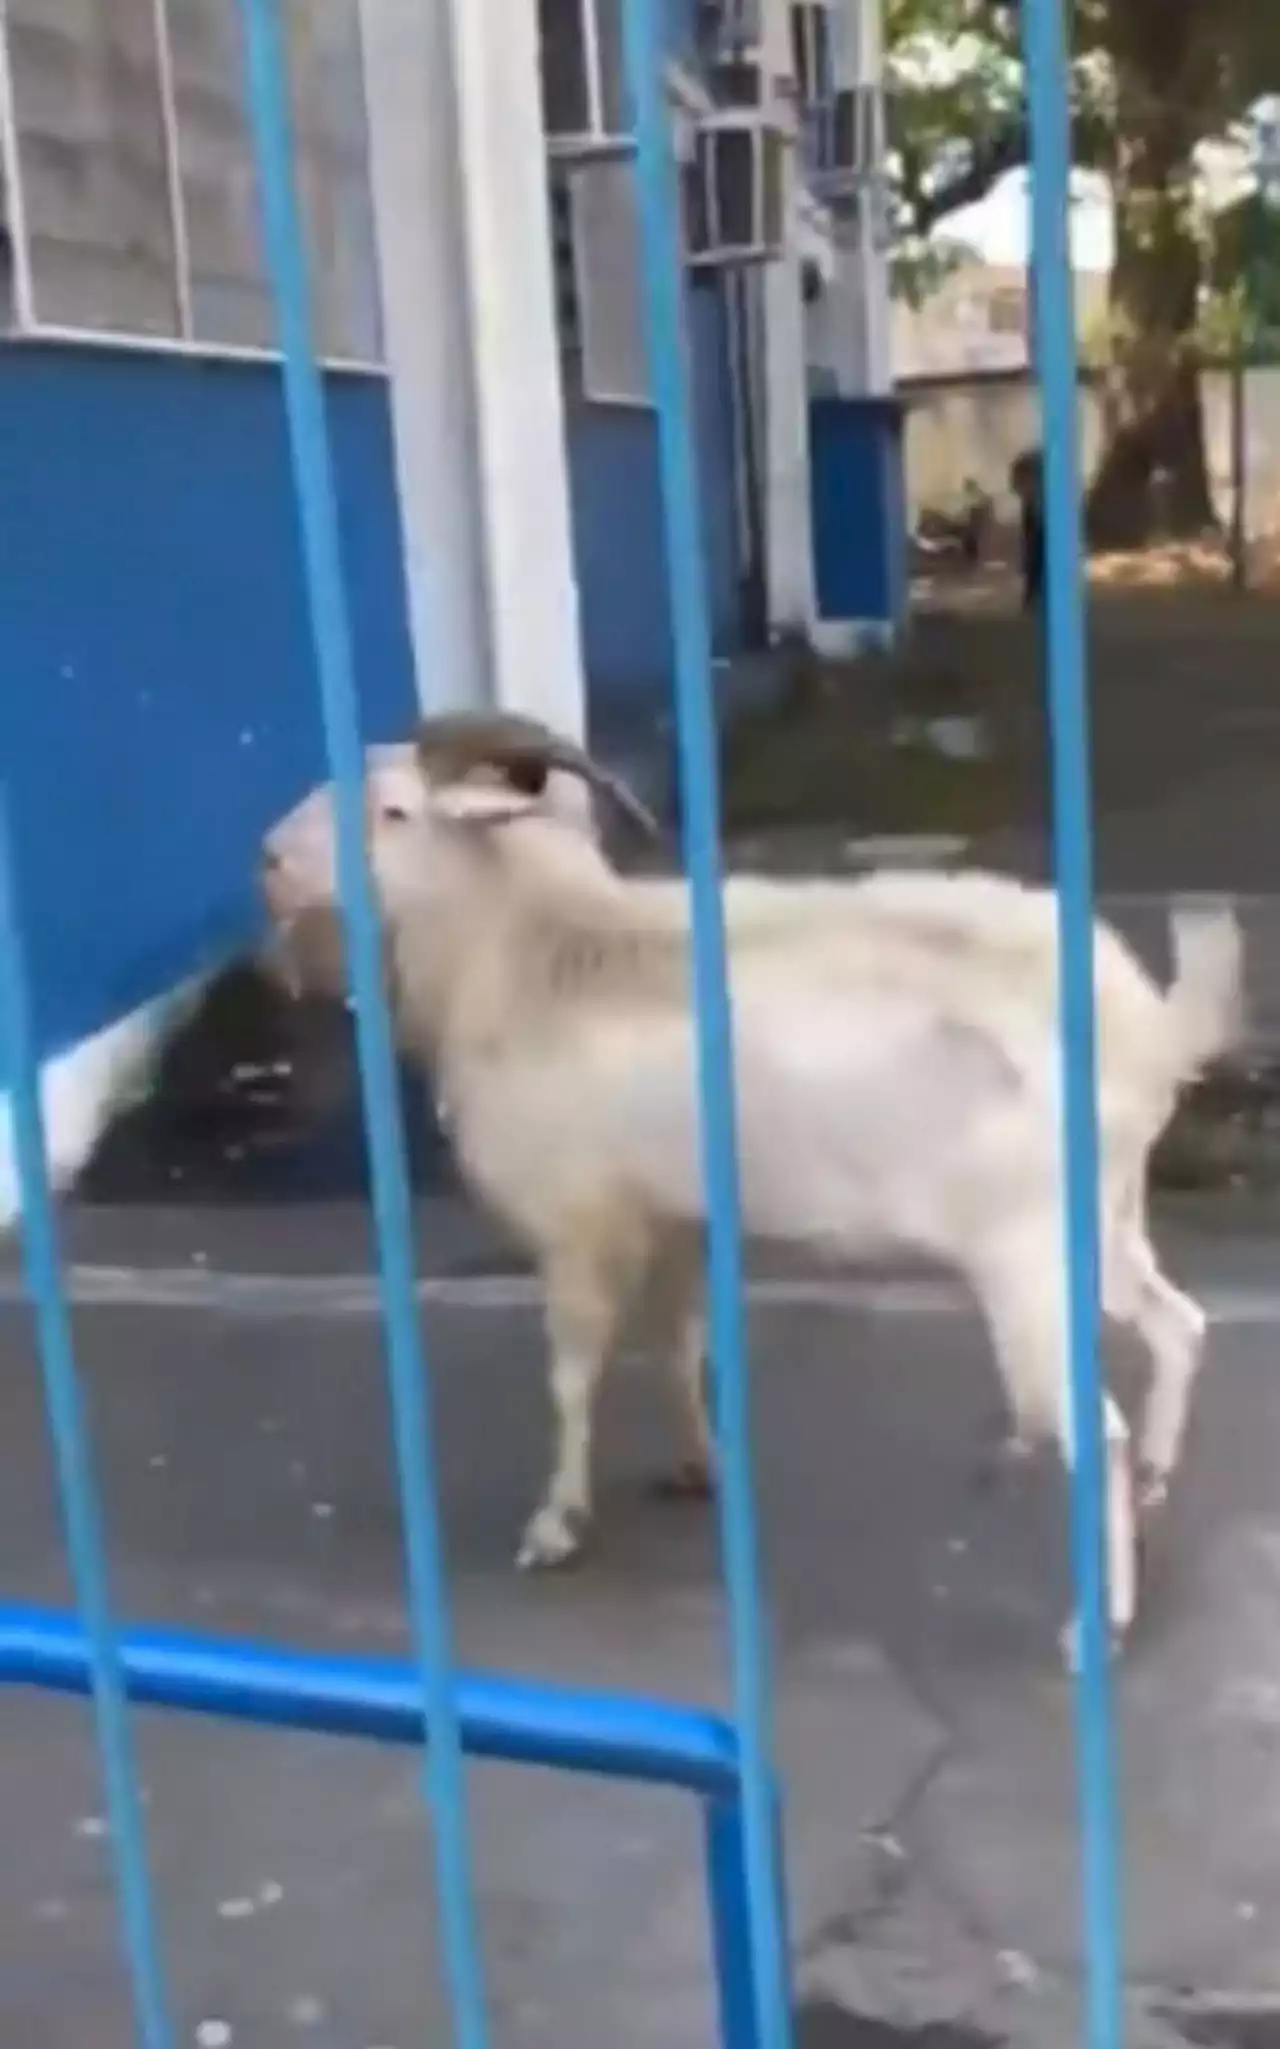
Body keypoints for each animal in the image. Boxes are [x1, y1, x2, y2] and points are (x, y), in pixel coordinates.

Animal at [260, 713, 1236, 1655]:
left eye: (393, 812)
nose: (268, 861)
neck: (533, 951)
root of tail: (1146, 1030)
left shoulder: (579, 1225)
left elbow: (571, 1376)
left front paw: (555, 1526)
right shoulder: (677, 1213)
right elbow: (679, 1343)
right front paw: (703, 1466)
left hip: (1026, 1255)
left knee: (1097, 1428)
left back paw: (1097, 1624)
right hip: (1105, 1218)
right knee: (1177, 1324)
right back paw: (1153, 1492)